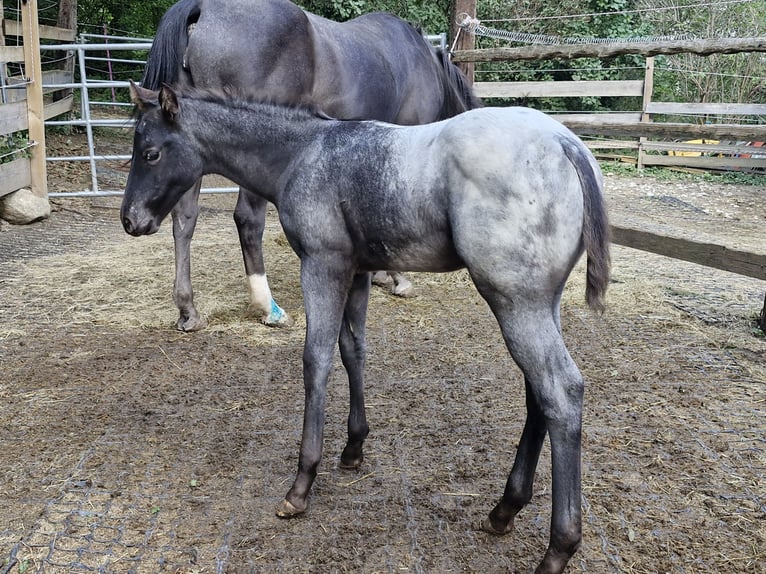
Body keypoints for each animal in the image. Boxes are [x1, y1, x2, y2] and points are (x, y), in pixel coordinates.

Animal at [121, 84, 612, 574]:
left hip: (514, 300)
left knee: (561, 391)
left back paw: (557, 549)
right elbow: (352, 349)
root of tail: (564, 143)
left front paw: (302, 483)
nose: (130, 220)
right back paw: (505, 509)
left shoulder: (322, 264)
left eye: (150, 153)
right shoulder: (356, 272)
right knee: (538, 394)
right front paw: (353, 447)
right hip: (539, 303)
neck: (303, 152)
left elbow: (316, 359)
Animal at [140, 0, 480, 332]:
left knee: (184, 219)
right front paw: (397, 278)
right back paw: (270, 308)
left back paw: (188, 310)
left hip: (188, 154)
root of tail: (202, 9)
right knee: (248, 219)